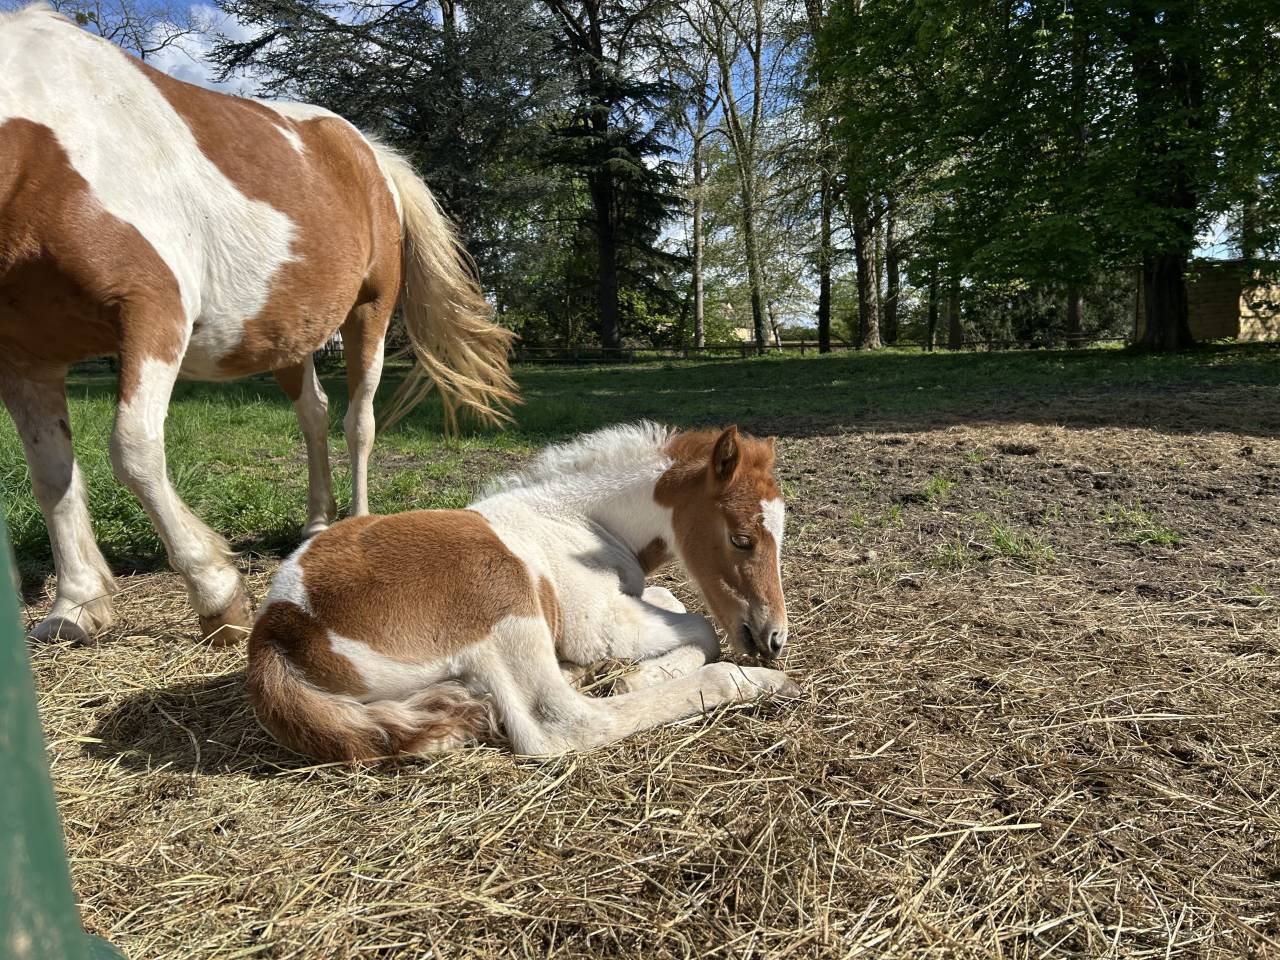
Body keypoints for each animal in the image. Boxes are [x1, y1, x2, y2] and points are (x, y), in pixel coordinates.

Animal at [0, 5, 515, 645]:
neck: (46, 146)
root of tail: (369, 152)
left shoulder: (153, 313)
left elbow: (134, 452)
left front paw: (216, 593)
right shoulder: (25, 357)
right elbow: (52, 476)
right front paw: (76, 604)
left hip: (369, 312)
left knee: (359, 423)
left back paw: (357, 522)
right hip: (289, 335)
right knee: (314, 414)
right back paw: (316, 524)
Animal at [246, 423, 799, 759]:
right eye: (742, 538)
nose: (773, 638)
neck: (579, 519)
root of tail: (276, 631)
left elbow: (673, 602)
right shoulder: (593, 622)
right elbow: (701, 627)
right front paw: (638, 676)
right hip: (504, 602)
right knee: (560, 723)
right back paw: (757, 683)